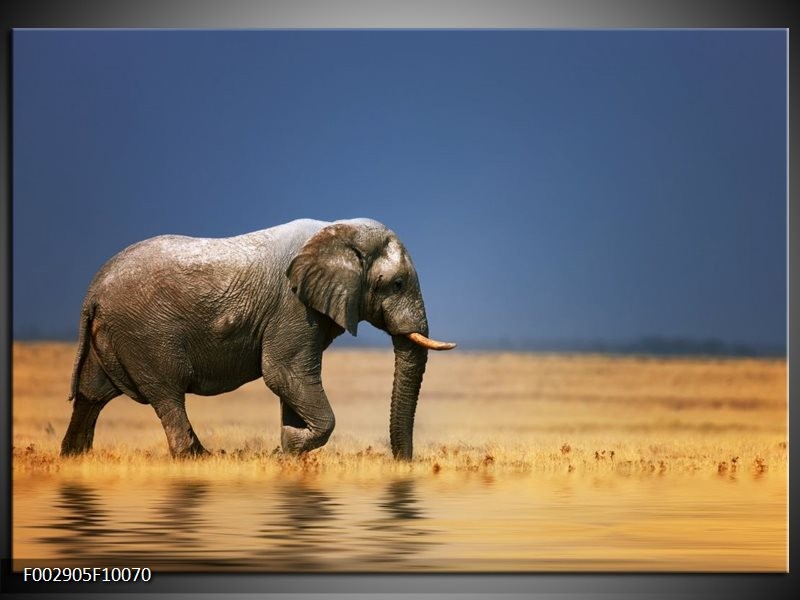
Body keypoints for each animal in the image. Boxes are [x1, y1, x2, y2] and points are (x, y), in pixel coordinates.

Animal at [59, 219, 454, 460]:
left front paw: (288, 451)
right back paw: (200, 459)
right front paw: (286, 451)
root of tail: (93, 291)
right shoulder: (292, 306)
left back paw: (75, 458)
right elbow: (282, 373)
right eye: (397, 284)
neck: (338, 232)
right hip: (146, 333)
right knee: (167, 393)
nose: (403, 464)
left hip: (114, 334)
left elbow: (291, 382)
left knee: (92, 395)